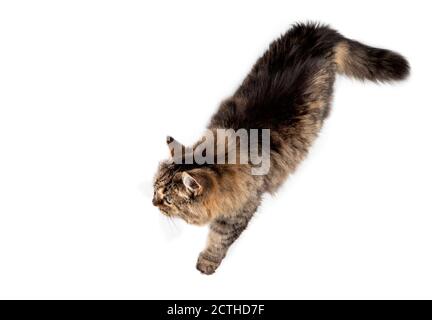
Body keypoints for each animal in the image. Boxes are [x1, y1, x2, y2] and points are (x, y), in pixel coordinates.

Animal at [151, 22, 408, 274]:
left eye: (169, 200)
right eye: (155, 189)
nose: (153, 203)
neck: (222, 156)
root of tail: (319, 31)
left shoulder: (240, 210)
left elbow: (219, 239)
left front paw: (207, 262)